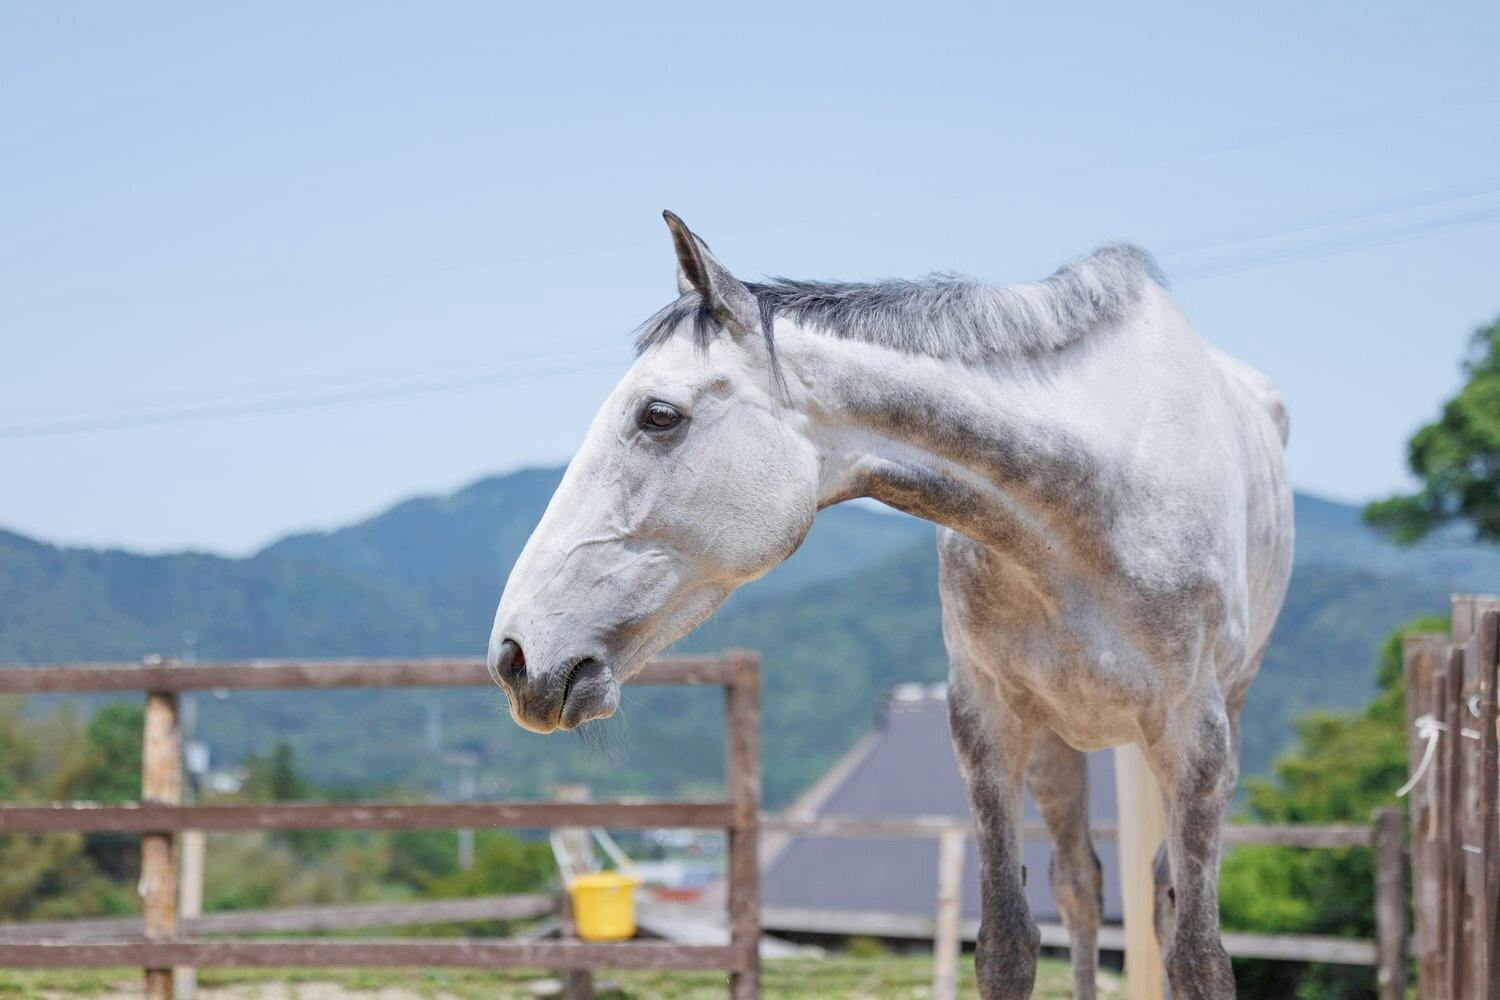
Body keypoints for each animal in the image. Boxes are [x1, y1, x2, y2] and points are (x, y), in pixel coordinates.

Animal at [489, 211, 1293, 999]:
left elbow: (1198, 956)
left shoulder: (1196, 734)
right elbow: (1008, 945)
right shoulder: (987, 722)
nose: (514, 655)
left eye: (658, 415)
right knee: (1082, 890)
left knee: (1156, 895)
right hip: (1061, 740)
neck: (1096, 496)